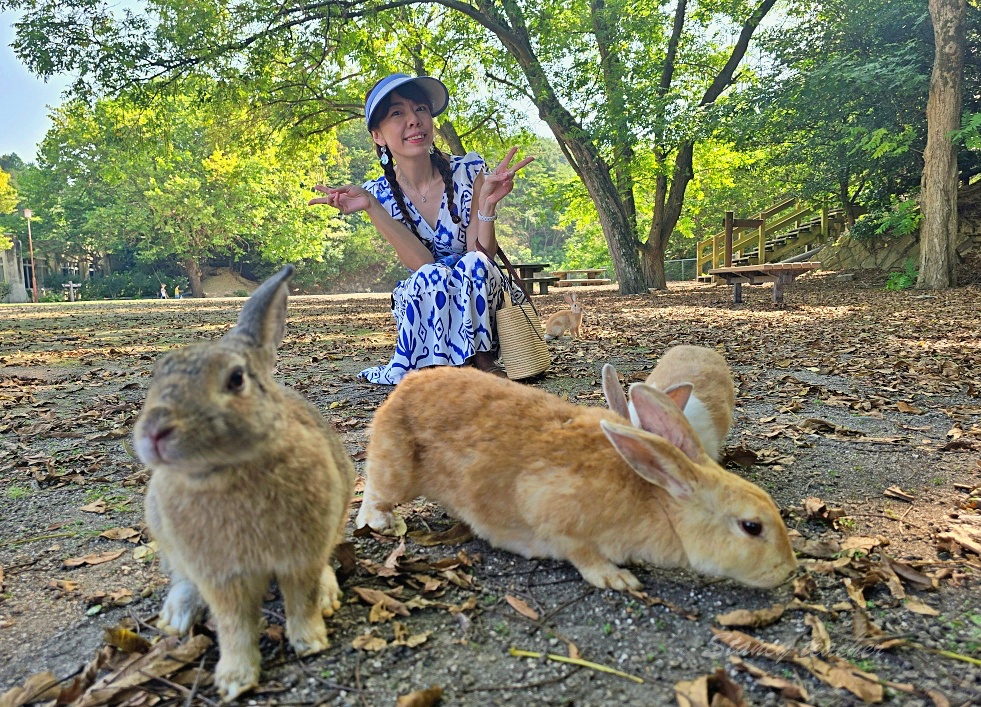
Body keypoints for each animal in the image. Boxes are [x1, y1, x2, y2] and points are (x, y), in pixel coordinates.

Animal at [134, 266, 354, 704]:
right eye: (157, 374)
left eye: (236, 379)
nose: (155, 432)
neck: (228, 470)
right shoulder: (221, 576)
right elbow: (233, 624)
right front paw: (235, 678)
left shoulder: (300, 556)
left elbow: (301, 599)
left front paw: (310, 642)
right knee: (180, 578)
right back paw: (175, 618)